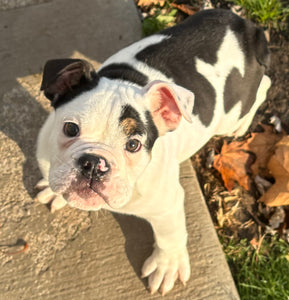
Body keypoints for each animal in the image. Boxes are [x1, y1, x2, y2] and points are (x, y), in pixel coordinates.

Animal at [35, 9, 270, 296]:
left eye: (133, 145)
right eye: (70, 128)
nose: (93, 163)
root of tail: (245, 27)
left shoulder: (167, 204)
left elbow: (169, 233)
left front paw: (167, 264)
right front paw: (53, 191)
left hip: (233, 109)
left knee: (264, 86)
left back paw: (241, 125)